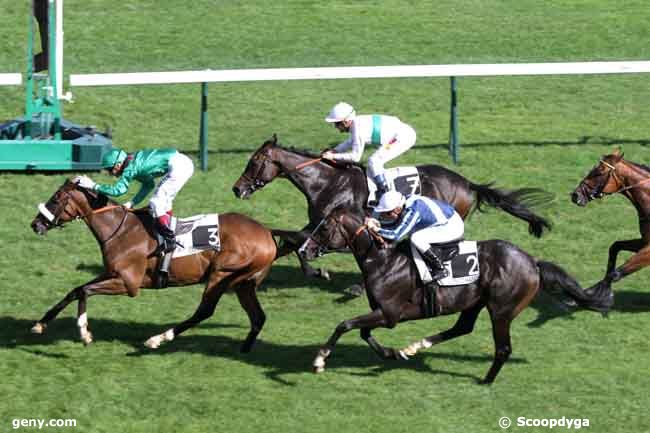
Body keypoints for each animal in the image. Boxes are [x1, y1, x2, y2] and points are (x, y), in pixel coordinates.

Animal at [30, 179, 274, 352]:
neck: (120, 230)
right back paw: (244, 349)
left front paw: (84, 332)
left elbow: (85, 291)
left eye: (56, 198)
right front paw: (41, 324)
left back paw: (158, 339)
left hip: (221, 275)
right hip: (244, 283)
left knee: (205, 311)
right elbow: (76, 290)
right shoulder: (111, 273)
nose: (35, 224)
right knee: (258, 317)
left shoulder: (129, 283)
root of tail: (268, 235)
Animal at [233, 133, 552, 278]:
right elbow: (291, 242)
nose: (237, 188)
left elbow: (295, 240)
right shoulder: (319, 223)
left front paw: (315, 271)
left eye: (254, 161)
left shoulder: (330, 223)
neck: (327, 182)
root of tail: (466, 183)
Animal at [296, 208, 612, 382]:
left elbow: (345, 325)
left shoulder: (389, 314)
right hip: (474, 302)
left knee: (502, 348)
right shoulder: (384, 313)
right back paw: (414, 347)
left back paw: (486, 381)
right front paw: (391, 353)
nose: (304, 250)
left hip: (501, 311)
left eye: (324, 227)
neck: (382, 260)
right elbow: (363, 333)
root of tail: (533, 262)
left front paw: (319, 360)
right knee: (462, 327)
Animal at [568, 148, 648, 300]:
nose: (575, 195)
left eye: (599, 172)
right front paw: (591, 292)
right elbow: (615, 247)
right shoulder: (644, 242)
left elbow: (615, 273)